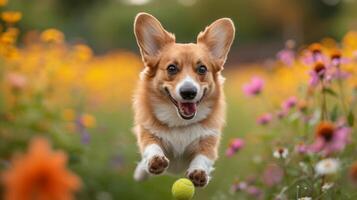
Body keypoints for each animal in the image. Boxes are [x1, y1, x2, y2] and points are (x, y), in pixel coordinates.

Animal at [131, 12, 234, 187]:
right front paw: (155, 160)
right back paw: (140, 173)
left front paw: (199, 172)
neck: (180, 123)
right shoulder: (147, 132)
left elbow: (203, 157)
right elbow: (152, 147)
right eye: (172, 68)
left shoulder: (209, 140)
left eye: (202, 69)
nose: (188, 92)